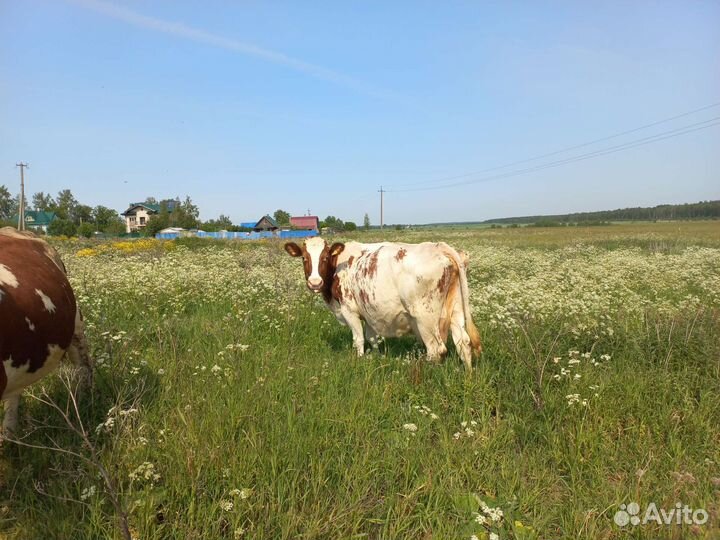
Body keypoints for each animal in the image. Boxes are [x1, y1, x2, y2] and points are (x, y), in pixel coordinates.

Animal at [284, 237, 482, 371]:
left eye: (324, 258)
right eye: (304, 258)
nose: (315, 283)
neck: (339, 265)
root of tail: (439, 247)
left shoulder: (349, 310)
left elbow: (358, 340)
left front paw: (359, 361)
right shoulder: (370, 313)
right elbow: (372, 338)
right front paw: (377, 358)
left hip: (425, 318)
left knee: (436, 349)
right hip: (455, 309)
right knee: (463, 343)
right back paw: (468, 376)